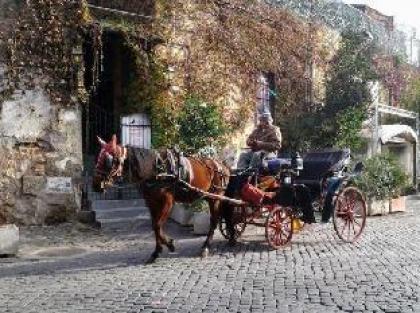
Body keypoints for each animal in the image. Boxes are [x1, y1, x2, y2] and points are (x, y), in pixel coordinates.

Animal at [92, 134, 230, 260]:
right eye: (99, 158)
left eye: (107, 160)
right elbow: (155, 225)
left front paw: (169, 244)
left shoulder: (167, 202)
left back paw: (206, 246)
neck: (155, 170)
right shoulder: (151, 202)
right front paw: (157, 251)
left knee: (214, 221)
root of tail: (221, 165)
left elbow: (157, 225)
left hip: (216, 197)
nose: (95, 185)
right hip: (208, 196)